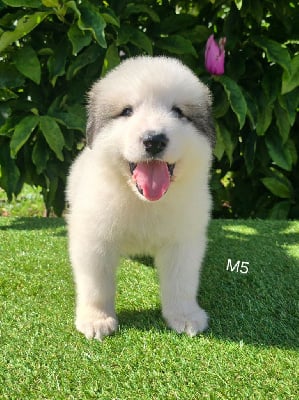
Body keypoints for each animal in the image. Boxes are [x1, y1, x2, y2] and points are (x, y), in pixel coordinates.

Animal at [67, 54, 214, 340]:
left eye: (178, 112)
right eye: (127, 111)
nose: (154, 140)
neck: (143, 202)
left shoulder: (184, 240)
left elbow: (181, 281)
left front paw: (185, 316)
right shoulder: (93, 238)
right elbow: (96, 283)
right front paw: (96, 319)